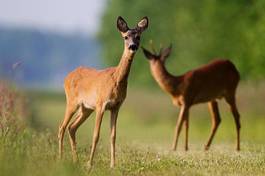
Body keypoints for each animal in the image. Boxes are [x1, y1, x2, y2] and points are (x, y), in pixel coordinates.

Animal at [57, 16, 147, 168]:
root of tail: (66, 77)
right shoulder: (101, 104)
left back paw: (75, 160)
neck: (116, 80)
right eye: (125, 37)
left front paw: (112, 165)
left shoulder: (116, 107)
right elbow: (96, 135)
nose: (132, 46)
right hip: (72, 102)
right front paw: (89, 164)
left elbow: (113, 136)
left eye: (138, 36)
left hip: (86, 108)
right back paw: (60, 159)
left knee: (72, 127)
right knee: (62, 127)